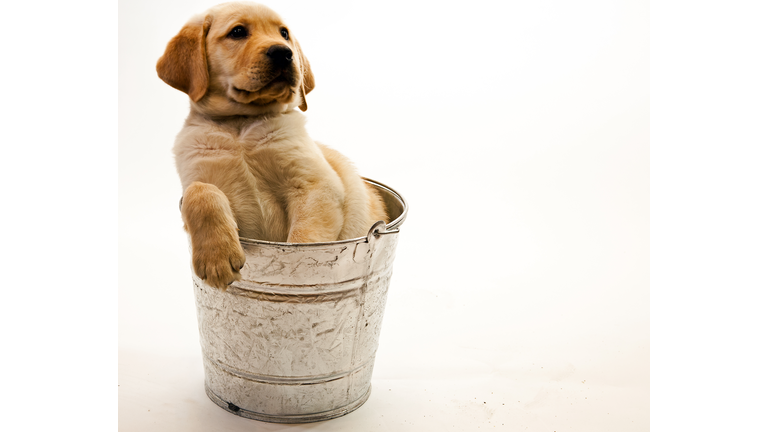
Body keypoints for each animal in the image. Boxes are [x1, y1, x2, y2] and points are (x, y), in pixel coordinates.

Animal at [157, 2, 388, 290]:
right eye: (237, 32)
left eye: (284, 33)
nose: (283, 53)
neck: (240, 125)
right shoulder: (196, 175)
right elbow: (200, 192)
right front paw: (216, 258)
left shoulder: (316, 184)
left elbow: (304, 237)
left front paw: (302, 271)